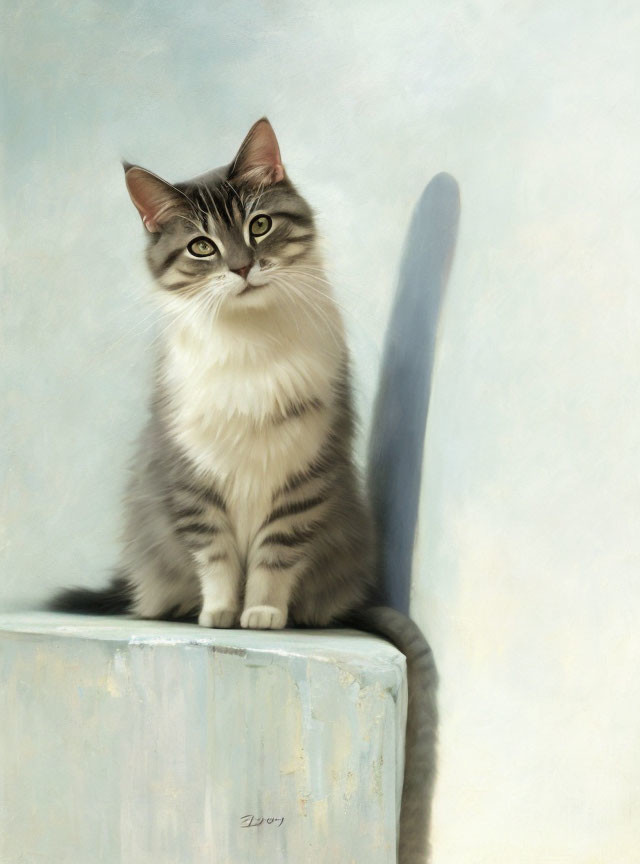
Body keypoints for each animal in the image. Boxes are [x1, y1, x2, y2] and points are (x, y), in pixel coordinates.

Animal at [50, 118, 438, 860]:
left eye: (259, 226)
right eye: (202, 245)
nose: (241, 267)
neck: (250, 350)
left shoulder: (304, 476)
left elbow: (273, 557)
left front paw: (261, 614)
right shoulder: (192, 478)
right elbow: (218, 557)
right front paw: (220, 613)